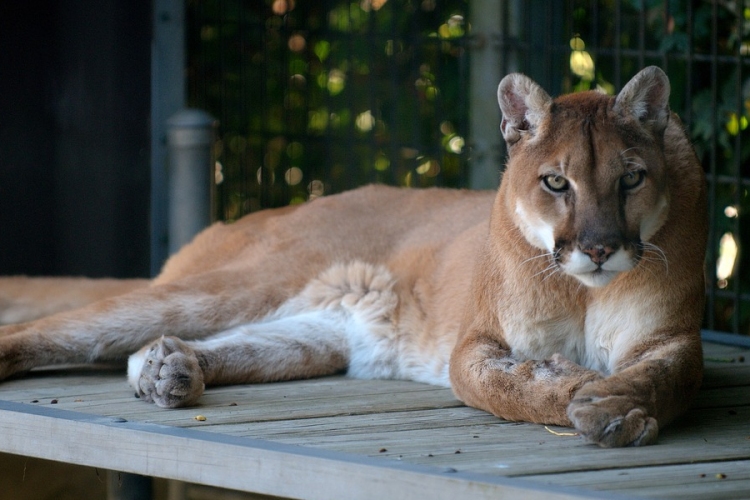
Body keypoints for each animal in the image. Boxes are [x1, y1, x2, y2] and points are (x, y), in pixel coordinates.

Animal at [0, 64, 708, 448]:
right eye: (556, 182)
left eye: (631, 178)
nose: (599, 249)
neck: (582, 288)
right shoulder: (476, 343)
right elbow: (506, 386)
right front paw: (578, 389)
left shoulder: (671, 337)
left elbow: (669, 377)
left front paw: (615, 404)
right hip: (236, 285)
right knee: (56, 329)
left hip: (319, 334)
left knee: (160, 351)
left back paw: (169, 371)